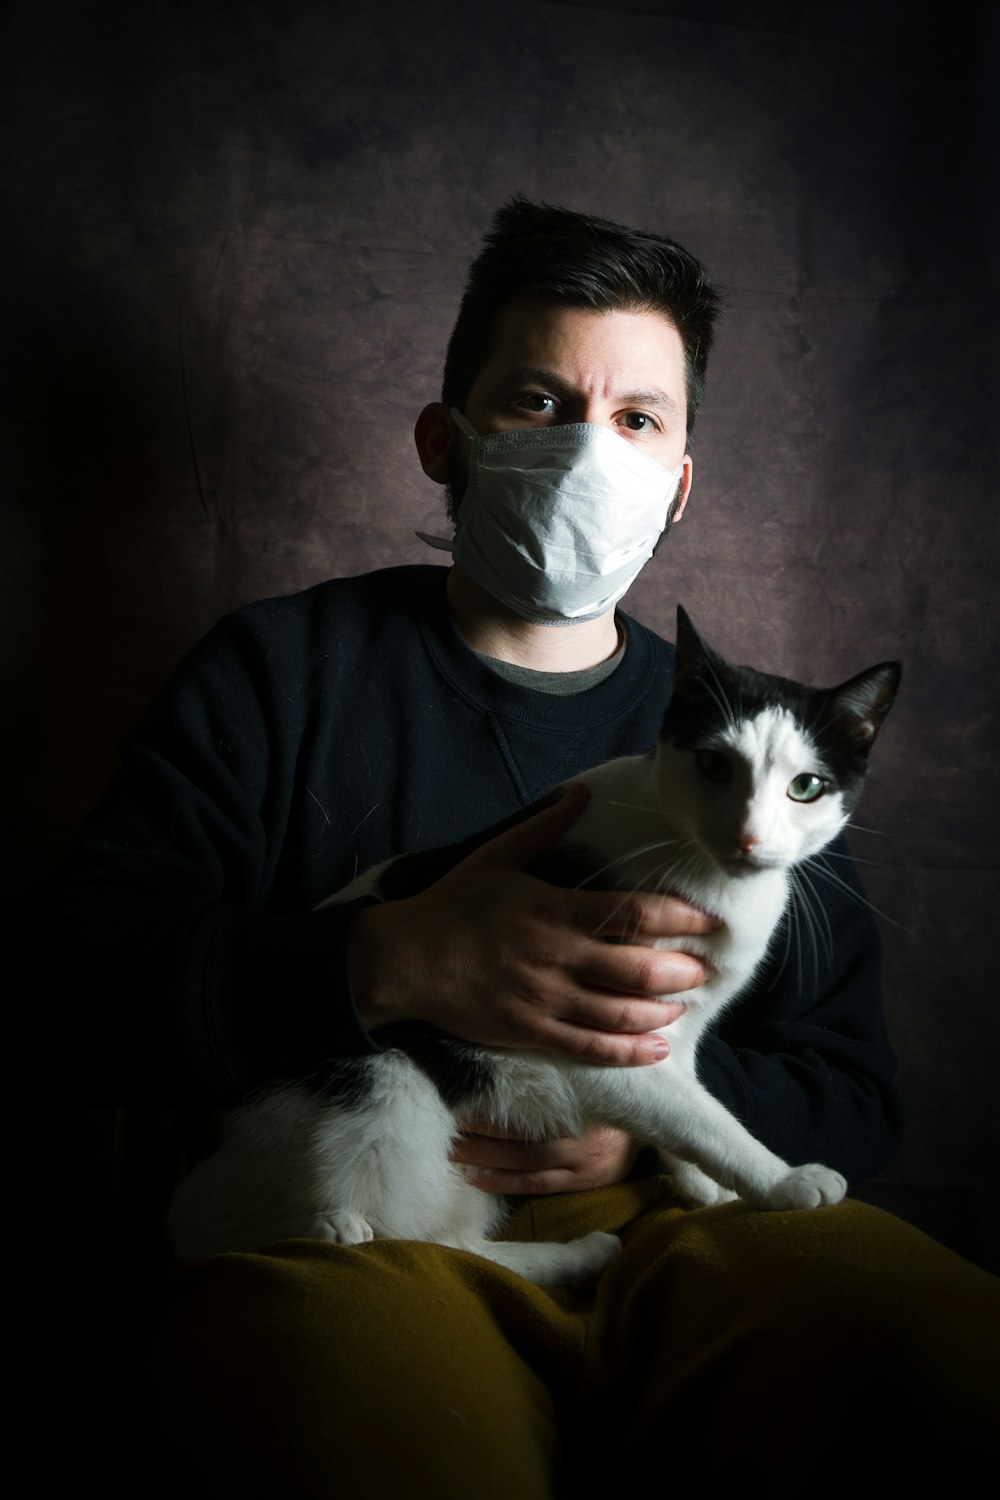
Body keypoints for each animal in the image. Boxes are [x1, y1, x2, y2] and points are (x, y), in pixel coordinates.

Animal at [167, 609, 905, 1290]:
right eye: (715, 765)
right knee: (386, 1239)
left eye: (805, 787)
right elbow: (702, 1118)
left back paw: (577, 1254)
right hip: (385, 1087)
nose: (749, 837)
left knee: (451, 1242)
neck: (702, 870)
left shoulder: (674, 1030)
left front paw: (701, 1186)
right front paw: (782, 1181)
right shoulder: (595, 1041)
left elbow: (689, 1099)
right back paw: (343, 1229)